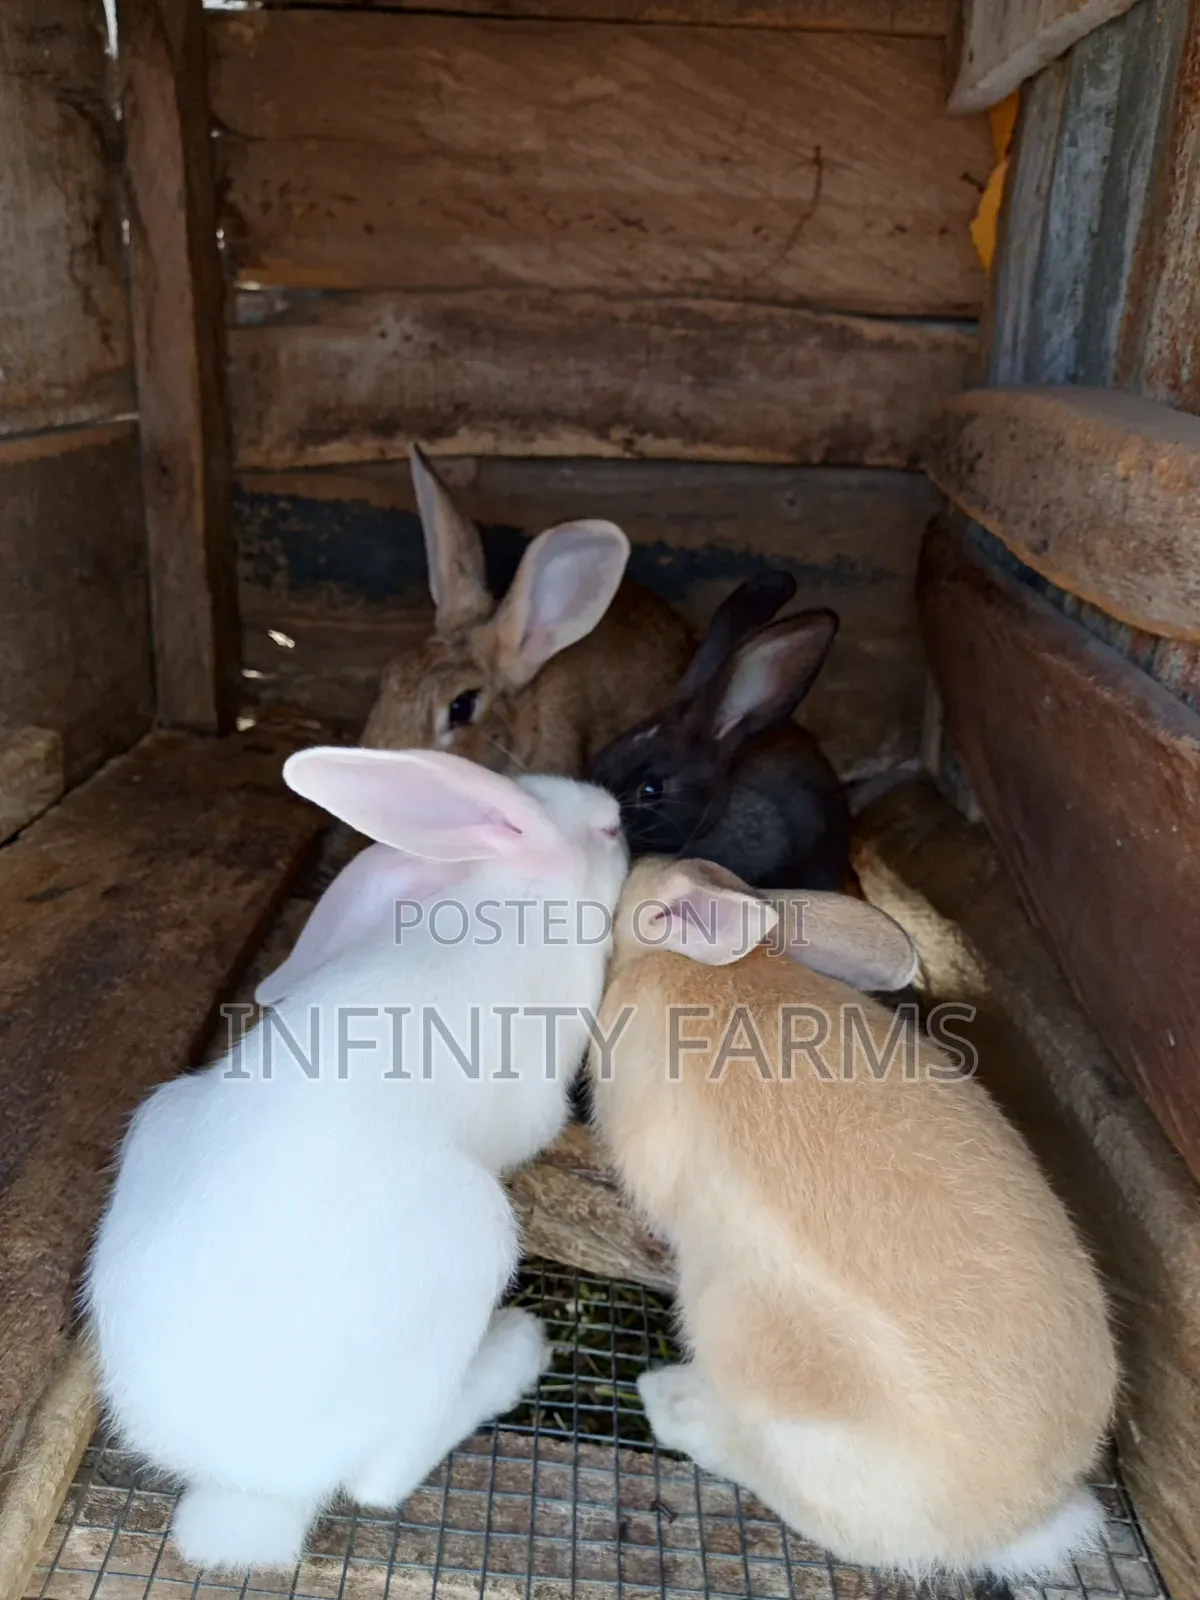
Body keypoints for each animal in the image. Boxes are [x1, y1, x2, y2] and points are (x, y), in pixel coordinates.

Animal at [84, 747, 629, 1575]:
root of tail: (247, 1487)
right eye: (602, 833)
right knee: (380, 1479)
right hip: (473, 1239)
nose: (618, 814)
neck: (508, 895)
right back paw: (516, 1351)